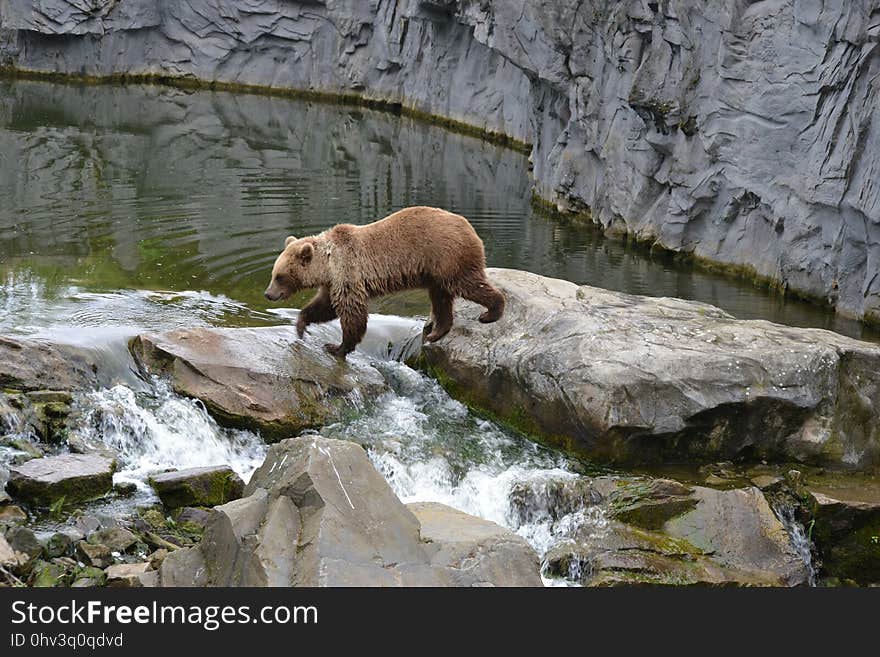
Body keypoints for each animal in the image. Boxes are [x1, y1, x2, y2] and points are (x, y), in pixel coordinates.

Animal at [262, 206, 502, 356]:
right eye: (273, 274)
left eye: (280, 276)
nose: (268, 294)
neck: (328, 264)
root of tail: (470, 228)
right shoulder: (334, 282)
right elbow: (324, 306)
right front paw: (301, 325)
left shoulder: (348, 273)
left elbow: (352, 313)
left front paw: (337, 347)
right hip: (435, 271)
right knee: (441, 298)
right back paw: (436, 332)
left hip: (447, 256)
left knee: (468, 284)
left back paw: (491, 312)